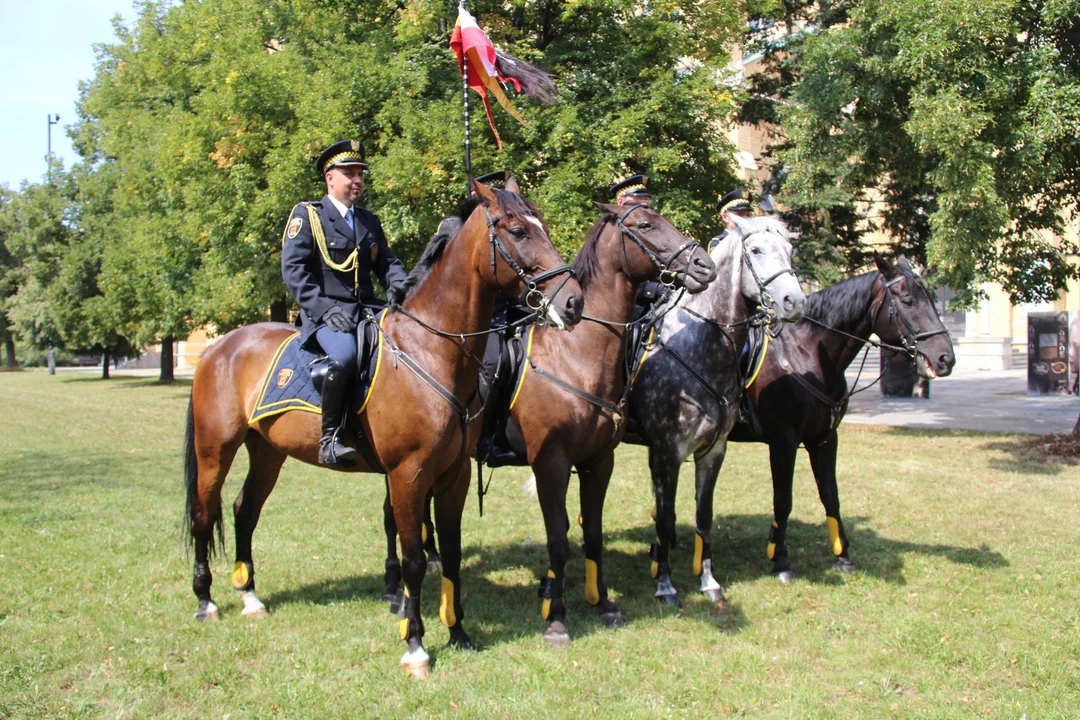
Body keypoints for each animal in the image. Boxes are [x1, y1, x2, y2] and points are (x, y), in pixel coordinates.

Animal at [187, 179, 591, 677]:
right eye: (518, 231)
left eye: (544, 226)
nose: (573, 302)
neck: (431, 350)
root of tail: (219, 347)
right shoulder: (407, 474)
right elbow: (414, 558)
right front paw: (415, 644)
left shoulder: (453, 474)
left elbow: (451, 552)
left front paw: (459, 633)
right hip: (214, 450)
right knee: (204, 513)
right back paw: (205, 600)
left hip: (267, 452)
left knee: (245, 511)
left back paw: (249, 596)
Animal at [496, 199, 717, 643]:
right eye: (646, 224)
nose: (704, 265)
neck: (576, 356)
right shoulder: (551, 463)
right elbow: (558, 538)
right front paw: (556, 617)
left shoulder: (599, 462)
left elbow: (593, 534)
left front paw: (602, 604)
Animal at [626, 215, 812, 608]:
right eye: (755, 250)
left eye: (790, 249)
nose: (794, 301)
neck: (704, 346)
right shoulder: (669, 451)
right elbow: (666, 518)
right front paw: (665, 585)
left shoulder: (713, 452)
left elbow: (704, 516)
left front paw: (708, 581)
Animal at [725, 255, 954, 582]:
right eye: (908, 301)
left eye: (932, 300)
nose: (946, 357)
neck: (808, 353)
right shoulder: (783, 441)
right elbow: (783, 500)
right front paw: (780, 560)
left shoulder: (824, 439)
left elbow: (831, 495)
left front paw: (843, 556)